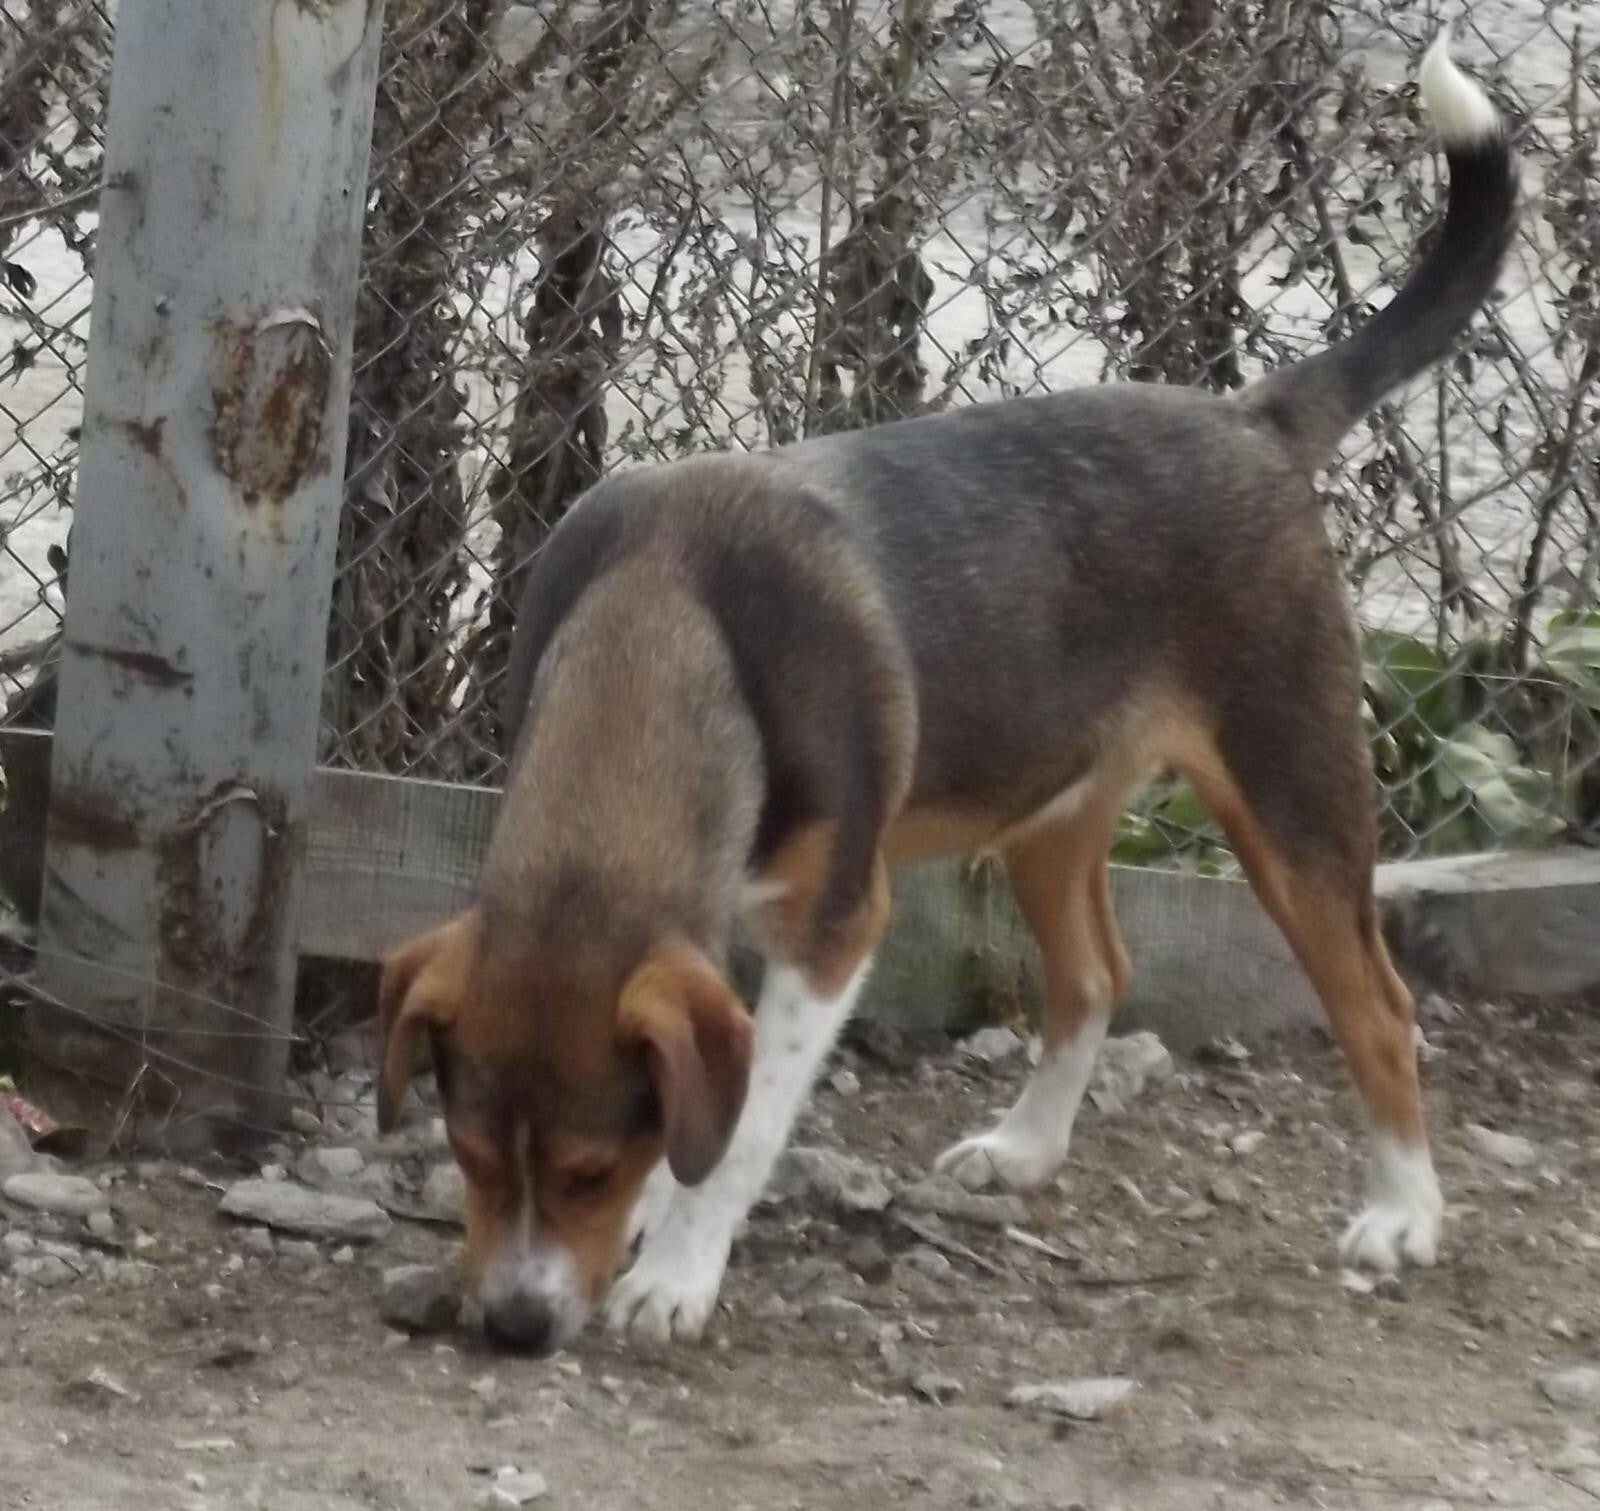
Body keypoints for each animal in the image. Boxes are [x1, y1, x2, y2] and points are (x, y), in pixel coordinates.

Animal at [375, 33, 1516, 1355]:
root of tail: (1255, 417)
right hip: (1051, 808)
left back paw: (1402, 1213)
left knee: (1379, 1006)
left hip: (1293, 795)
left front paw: (677, 1267)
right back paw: (1026, 1148)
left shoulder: (834, 928)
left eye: (587, 1171)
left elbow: (743, 1125)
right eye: (466, 1156)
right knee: (1095, 974)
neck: (669, 607)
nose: (513, 1324)